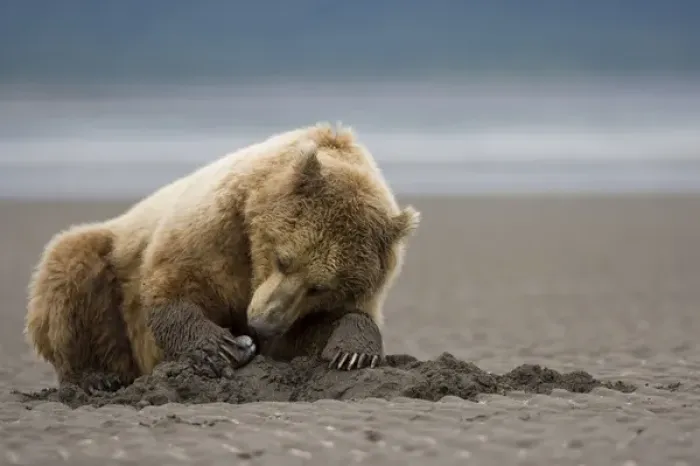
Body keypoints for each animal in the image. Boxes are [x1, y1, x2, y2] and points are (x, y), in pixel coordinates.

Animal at [24, 122, 420, 393]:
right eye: (284, 259)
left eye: (320, 287)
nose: (263, 322)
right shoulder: (218, 230)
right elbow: (174, 287)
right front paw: (225, 347)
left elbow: (310, 336)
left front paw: (352, 351)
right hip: (110, 258)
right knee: (71, 271)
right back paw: (94, 378)